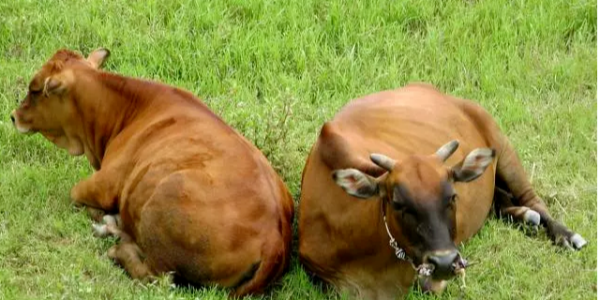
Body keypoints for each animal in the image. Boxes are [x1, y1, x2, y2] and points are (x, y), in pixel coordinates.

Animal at [10, 48, 294, 296]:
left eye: (34, 90)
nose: (13, 116)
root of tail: (274, 237)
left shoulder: (103, 185)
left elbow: (75, 194)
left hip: (166, 199)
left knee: (158, 277)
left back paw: (117, 246)